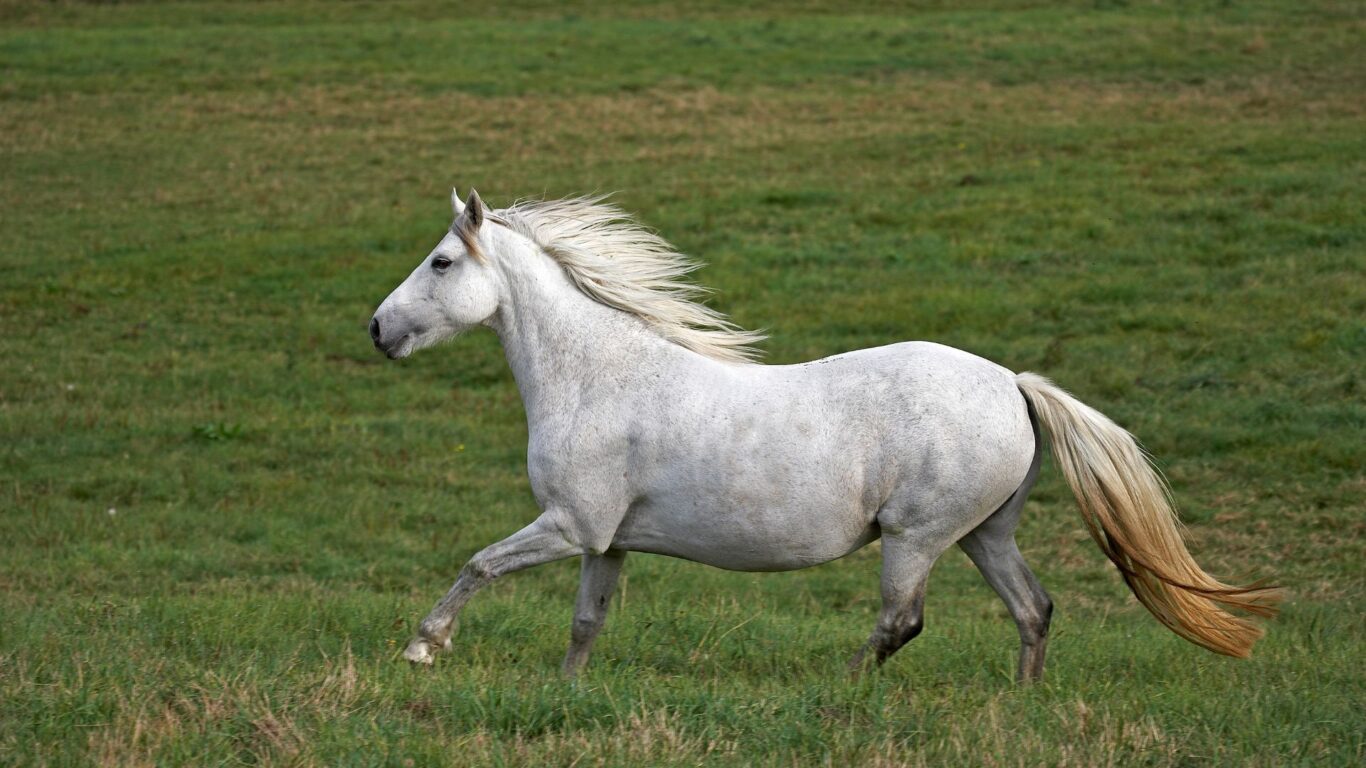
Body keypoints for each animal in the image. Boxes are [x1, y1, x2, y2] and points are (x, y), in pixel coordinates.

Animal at [368, 189, 1280, 682]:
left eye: (442, 262)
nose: (377, 329)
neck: (597, 375)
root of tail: (1016, 387)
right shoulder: (606, 542)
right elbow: (585, 624)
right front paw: (568, 692)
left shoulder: (568, 526)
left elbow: (478, 564)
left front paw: (421, 649)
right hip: (984, 533)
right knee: (1034, 609)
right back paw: (1022, 702)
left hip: (916, 537)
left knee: (900, 624)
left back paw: (839, 691)